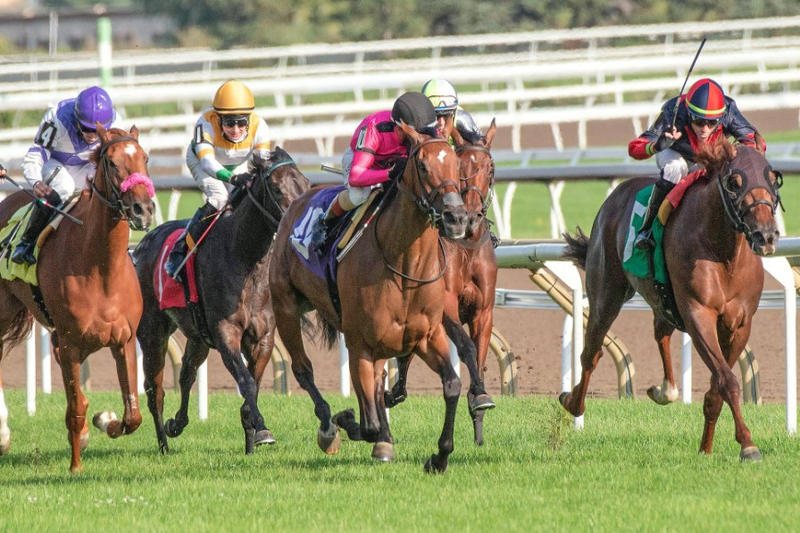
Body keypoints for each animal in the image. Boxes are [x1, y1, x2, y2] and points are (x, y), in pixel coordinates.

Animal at [0, 125, 155, 472]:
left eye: (145, 157)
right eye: (111, 162)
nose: (143, 209)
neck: (100, 268)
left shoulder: (123, 340)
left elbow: (132, 415)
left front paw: (104, 421)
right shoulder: (69, 343)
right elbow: (76, 408)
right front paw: (75, 466)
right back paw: (2, 434)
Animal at [132, 147, 309, 455]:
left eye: (306, 183)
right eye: (276, 188)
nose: (296, 223)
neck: (244, 257)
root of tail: (142, 244)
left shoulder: (262, 337)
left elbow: (253, 384)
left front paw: (254, 438)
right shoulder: (226, 334)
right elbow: (246, 383)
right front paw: (260, 428)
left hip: (198, 336)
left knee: (186, 373)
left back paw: (177, 423)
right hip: (153, 331)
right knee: (155, 389)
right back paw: (164, 444)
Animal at [269, 122, 468, 473]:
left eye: (457, 165)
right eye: (422, 166)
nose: (455, 218)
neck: (404, 265)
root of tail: (297, 200)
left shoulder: (427, 336)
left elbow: (452, 385)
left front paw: (439, 456)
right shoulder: (360, 341)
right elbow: (369, 422)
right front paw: (350, 422)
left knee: (376, 380)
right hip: (286, 308)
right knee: (304, 369)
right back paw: (329, 427)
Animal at [385, 119, 499, 446]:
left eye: (490, 167)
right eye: (460, 166)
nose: (469, 217)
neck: (467, 246)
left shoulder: (483, 310)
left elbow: (480, 353)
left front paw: (479, 404)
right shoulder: (444, 306)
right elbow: (467, 347)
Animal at [561, 137, 781, 461]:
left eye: (772, 179)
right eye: (734, 181)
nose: (766, 235)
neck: (723, 252)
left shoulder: (740, 323)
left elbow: (716, 388)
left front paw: (706, 448)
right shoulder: (698, 313)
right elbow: (727, 380)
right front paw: (748, 445)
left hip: (661, 299)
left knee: (660, 333)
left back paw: (665, 390)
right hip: (606, 293)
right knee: (592, 351)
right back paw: (572, 401)